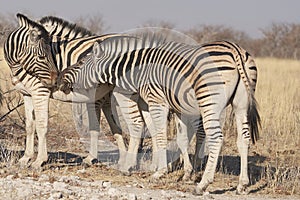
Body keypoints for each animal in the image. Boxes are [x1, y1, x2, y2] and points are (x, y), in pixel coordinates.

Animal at [58, 34, 260, 195]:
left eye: (81, 63)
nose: (60, 78)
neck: (136, 69)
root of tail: (235, 50)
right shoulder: (160, 104)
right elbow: (175, 138)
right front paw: (184, 172)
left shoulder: (158, 101)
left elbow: (161, 135)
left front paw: (159, 172)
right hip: (241, 103)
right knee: (243, 138)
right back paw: (242, 184)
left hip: (209, 100)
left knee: (216, 138)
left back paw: (203, 185)